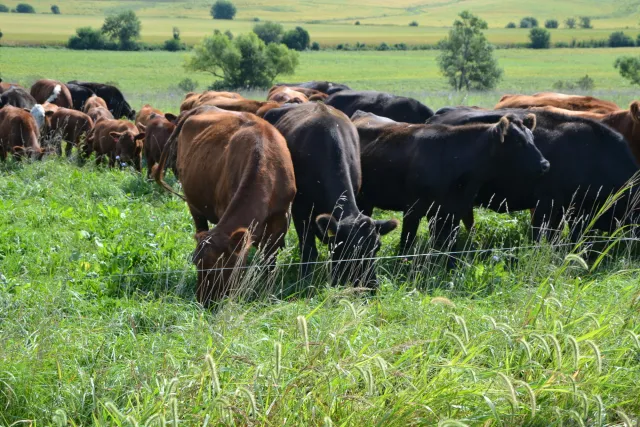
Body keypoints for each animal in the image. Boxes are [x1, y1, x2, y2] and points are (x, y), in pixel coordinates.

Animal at [153, 106, 296, 306]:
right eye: (197, 264)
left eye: (220, 267)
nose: (203, 301)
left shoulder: (280, 223)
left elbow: (270, 261)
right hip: (193, 204)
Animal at [263, 103, 398, 287]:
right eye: (348, 249)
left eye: (377, 247)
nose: (371, 285)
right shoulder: (301, 209)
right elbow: (308, 249)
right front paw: (305, 280)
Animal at [352, 111, 548, 262]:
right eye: (518, 141)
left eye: (532, 138)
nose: (545, 164)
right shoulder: (413, 210)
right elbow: (406, 244)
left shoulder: (453, 211)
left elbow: (450, 247)